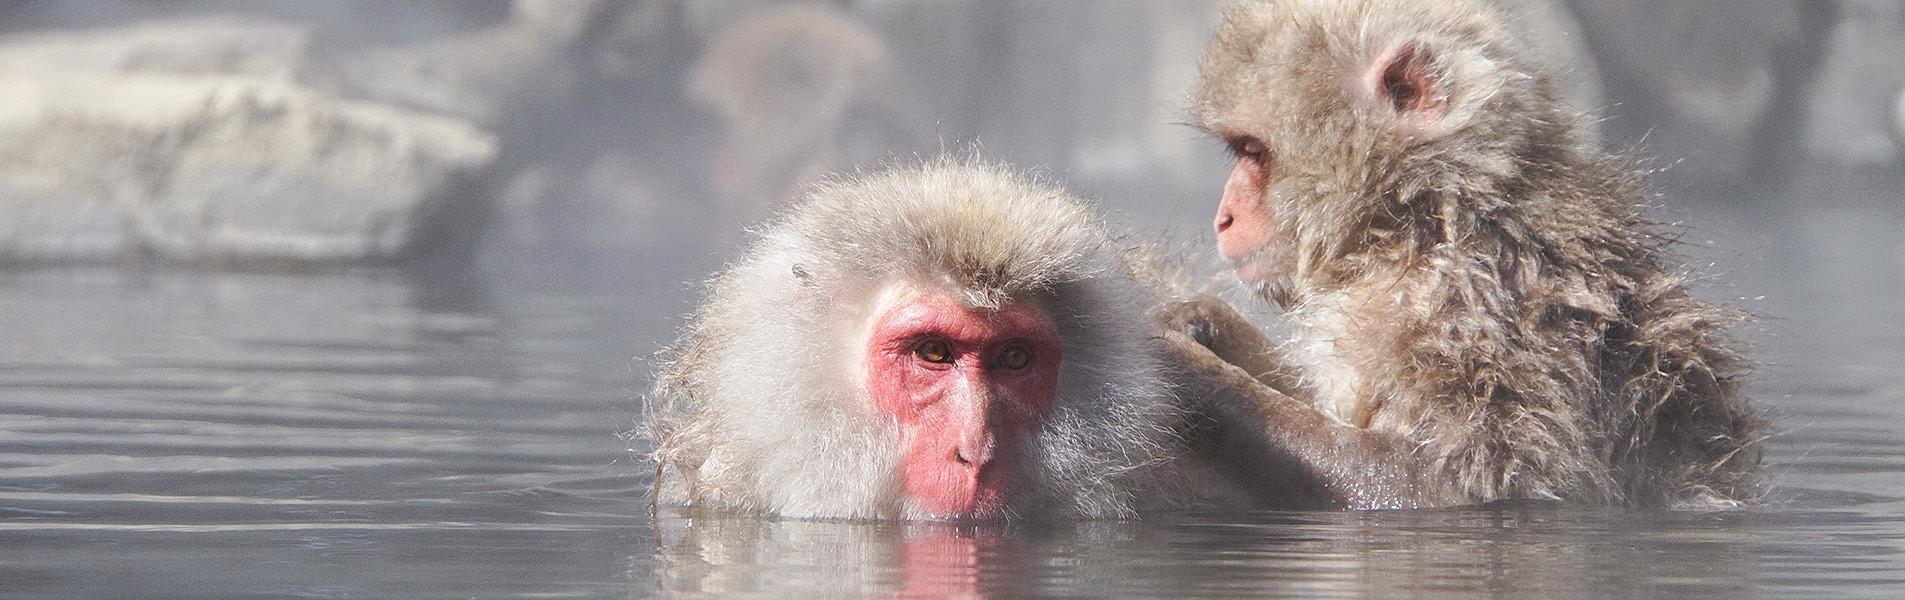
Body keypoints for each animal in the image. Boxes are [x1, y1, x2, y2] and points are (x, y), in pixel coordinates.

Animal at [1175, 0, 1770, 508]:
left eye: (1253, 152)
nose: (1223, 217)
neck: (1431, 220)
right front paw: (1203, 320)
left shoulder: (1472, 316)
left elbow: (1457, 486)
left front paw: (1189, 370)